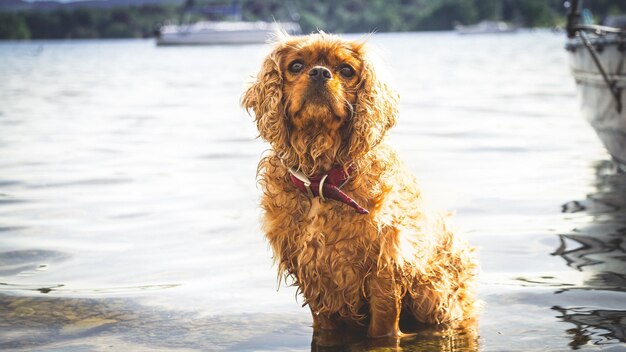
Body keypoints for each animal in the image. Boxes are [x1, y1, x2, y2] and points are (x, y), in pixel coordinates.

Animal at [241, 33, 476, 338]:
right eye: (296, 66)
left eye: (346, 70)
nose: (320, 72)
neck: (322, 181)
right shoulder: (314, 279)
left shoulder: (385, 268)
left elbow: (382, 330)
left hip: (433, 297)